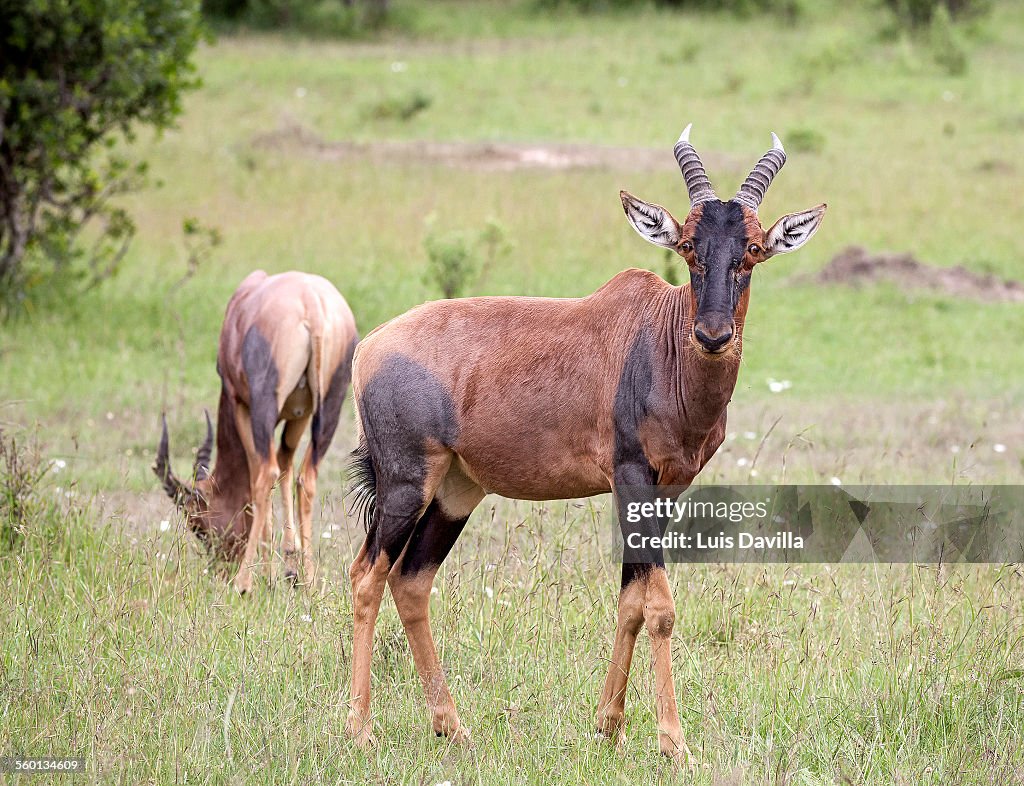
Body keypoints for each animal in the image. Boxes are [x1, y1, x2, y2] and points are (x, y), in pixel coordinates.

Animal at [153, 272, 358, 597]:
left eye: (197, 524)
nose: (221, 568)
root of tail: (311, 305)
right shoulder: (299, 414)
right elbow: (286, 466)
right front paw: (290, 569)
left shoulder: (240, 403)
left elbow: (255, 475)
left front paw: (268, 573)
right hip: (331, 405)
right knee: (306, 477)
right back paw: (311, 582)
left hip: (264, 404)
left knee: (265, 473)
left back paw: (244, 584)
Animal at [348, 124, 827, 761]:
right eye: (688, 247)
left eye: (751, 248)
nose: (713, 335)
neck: (658, 337)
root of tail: (369, 346)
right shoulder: (630, 477)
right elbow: (660, 607)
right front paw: (674, 742)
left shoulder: (664, 492)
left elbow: (632, 601)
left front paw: (609, 725)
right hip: (405, 482)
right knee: (367, 577)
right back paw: (360, 729)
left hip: (455, 490)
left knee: (411, 581)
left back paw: (452, 727)